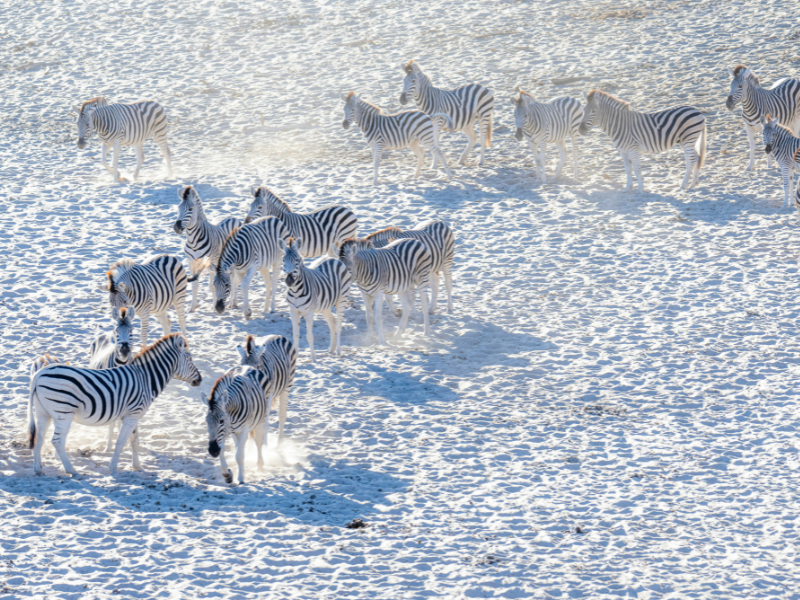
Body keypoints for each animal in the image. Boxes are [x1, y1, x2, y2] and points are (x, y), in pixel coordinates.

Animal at [28, 333, 201, 477]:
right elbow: (121, 442)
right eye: (190, 358)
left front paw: (137, 466)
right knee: (57, 441)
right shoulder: (132, 415)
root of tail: (38, 375)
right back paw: (72, 471)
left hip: (44, 412)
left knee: (39, 438)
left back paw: (38, 470)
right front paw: (113, 469)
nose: (200, 380)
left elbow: (134, 441)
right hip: (63, 412)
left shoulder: (133, 415)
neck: (146, 378)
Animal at [88, 307, 136, 452]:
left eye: (131, 330)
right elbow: (111, 423)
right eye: (117, 331)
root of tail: (105, 333)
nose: (125, 350)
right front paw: (109, 446)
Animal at [579, 90, 707, 192]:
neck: (619, 124)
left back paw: (684, 185)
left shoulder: (633, 148)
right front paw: (627, 188)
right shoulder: (623, 150)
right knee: (696, 158)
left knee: (690, 161)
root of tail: (696, 110)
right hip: (684, 140)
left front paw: (640, 189)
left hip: (688, 138)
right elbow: (628, 169)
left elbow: (636, 169)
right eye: (583, 110)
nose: (581, 129)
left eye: (593, 111)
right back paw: (693, 184)